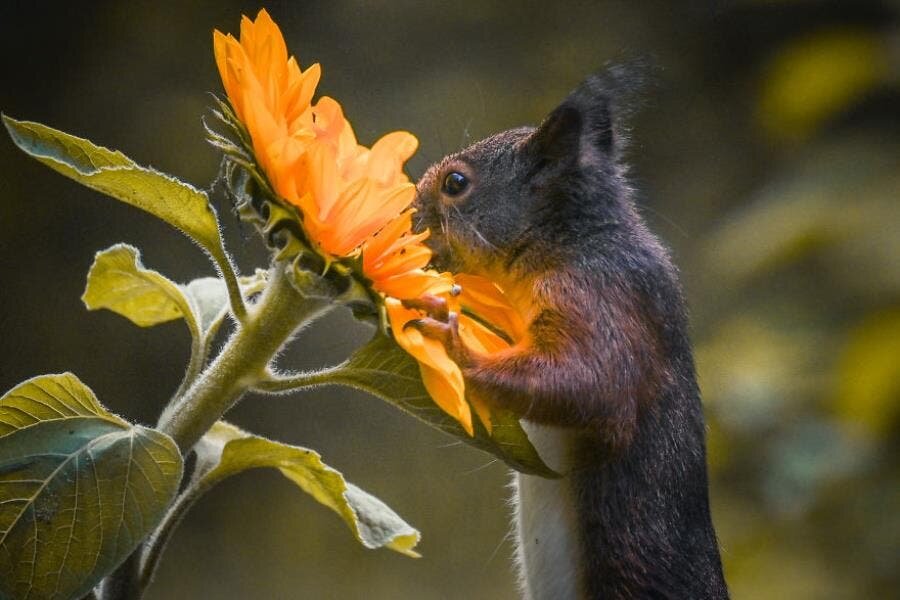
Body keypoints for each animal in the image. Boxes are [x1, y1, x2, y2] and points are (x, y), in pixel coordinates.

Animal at [408, 71, 732, 600]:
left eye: (456, 183)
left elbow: (593, 384)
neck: (573, 239)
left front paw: (459, 348)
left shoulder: (600, 297)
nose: (411, 212)